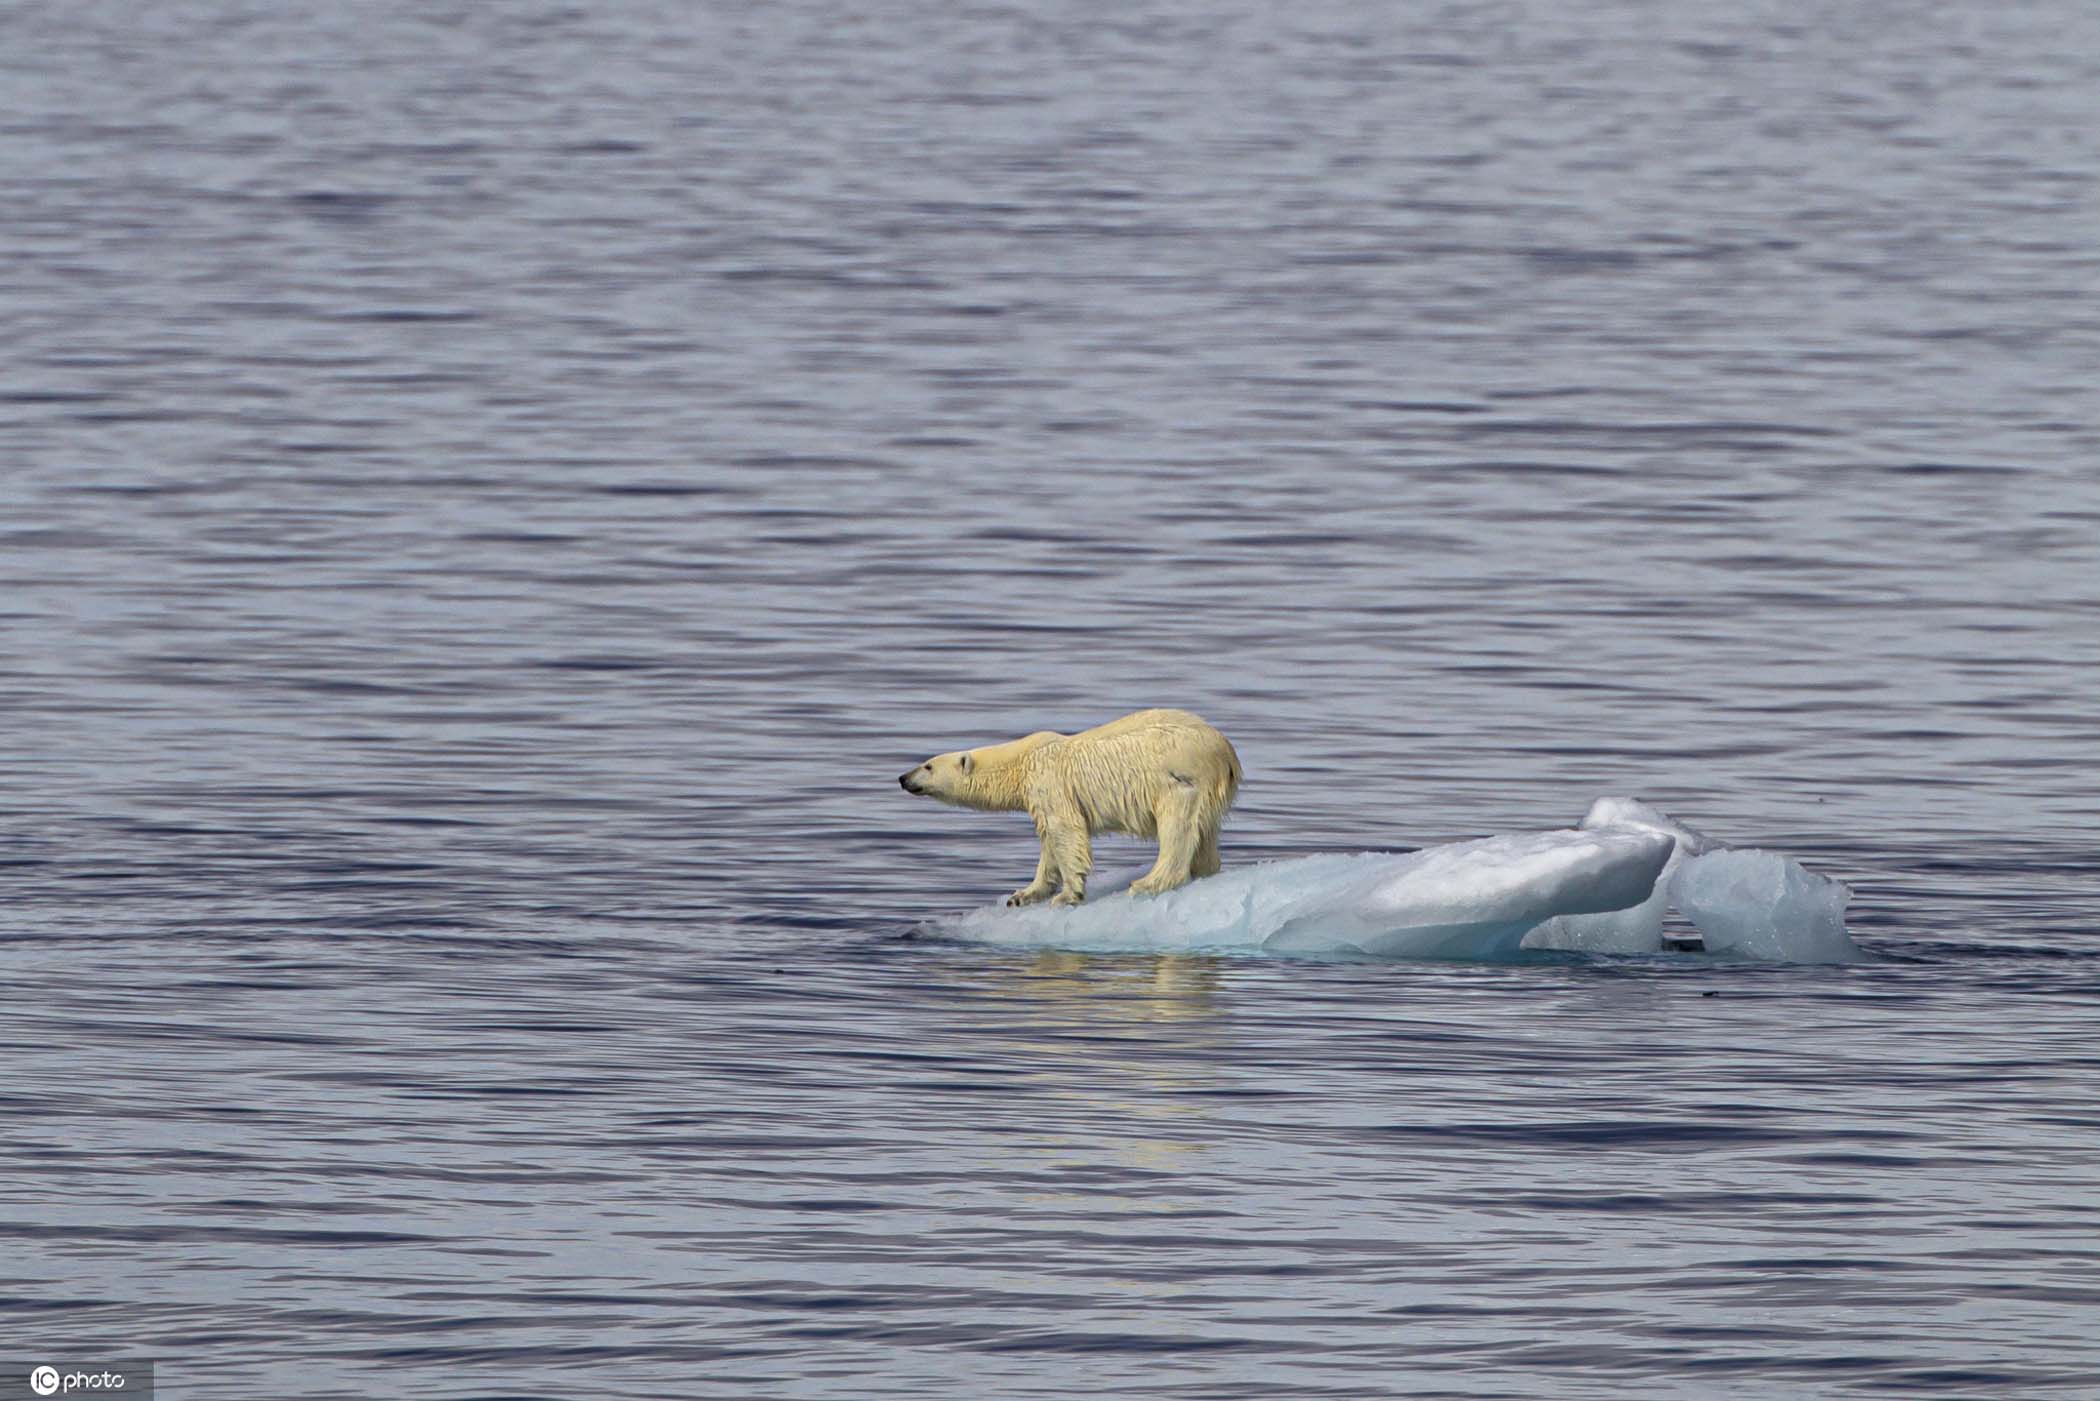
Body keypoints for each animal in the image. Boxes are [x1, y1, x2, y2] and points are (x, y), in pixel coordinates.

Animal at [894, 714, 1234, 911]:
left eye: (927, 765)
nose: (902, 778)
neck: (1021, 760)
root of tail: (1226, 750)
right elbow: (1048, 843)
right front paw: (1021, 895)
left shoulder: (1050, 781)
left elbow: (1066, 833)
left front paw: (1067, 896)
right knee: (1204, 830)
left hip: (1179, 779)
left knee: (1178, 827)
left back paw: (1148, 883)